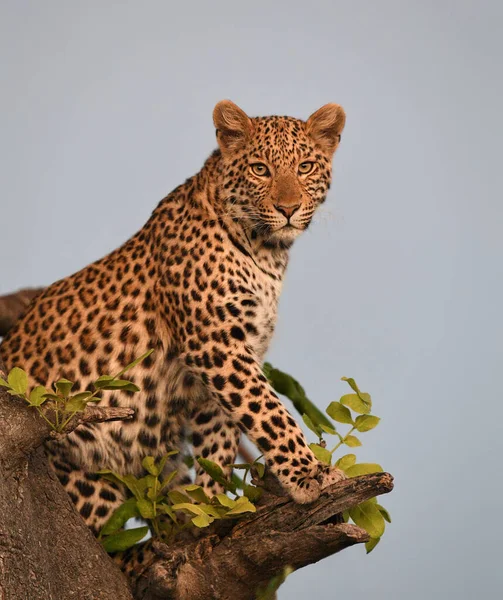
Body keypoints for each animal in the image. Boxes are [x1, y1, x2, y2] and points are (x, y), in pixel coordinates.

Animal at [0, 99, 346, 564]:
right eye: (260, 169)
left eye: (305, 167)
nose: (288, 207)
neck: (267, 253)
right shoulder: (217, 345)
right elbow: (270, 414)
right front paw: (311, 474)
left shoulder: (225, 363)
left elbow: (220, 443)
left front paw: (209, 509)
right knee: (109, 544)